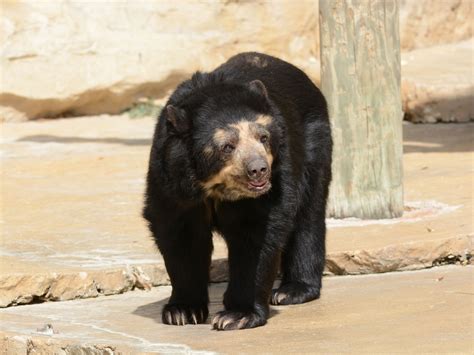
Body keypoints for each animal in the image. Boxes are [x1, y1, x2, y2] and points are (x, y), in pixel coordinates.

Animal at [143, 51, 332, 332]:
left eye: (263, 137)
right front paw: (182, 311)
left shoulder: (276, 181)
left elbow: (256, 237)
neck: (215, 187)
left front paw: (237, 315)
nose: (259, 170)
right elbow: (181, 235)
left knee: (308, 212)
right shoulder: (171, 178)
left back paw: (292, 290)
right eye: (227, 146)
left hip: (314, 142)